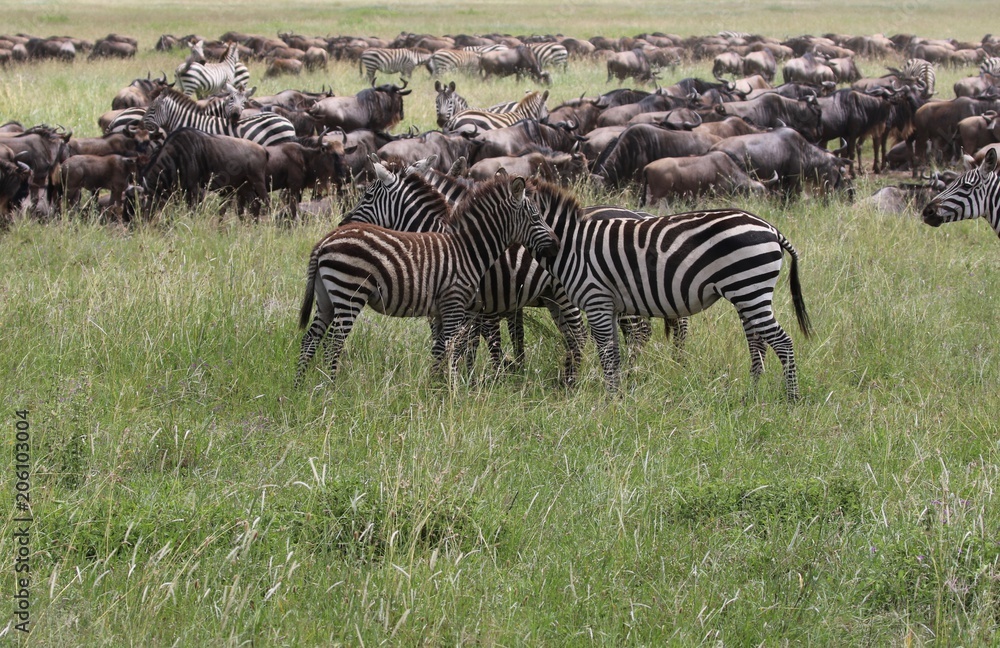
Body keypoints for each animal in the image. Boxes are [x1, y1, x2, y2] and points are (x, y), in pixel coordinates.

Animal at [294, 173, 560, 385]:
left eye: (368, 195)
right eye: (536, 218)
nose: (556, 245)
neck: (468, 249)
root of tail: (324, 242)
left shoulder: (452, 309)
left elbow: (446, 347)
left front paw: (441, 385)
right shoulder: (455, 304)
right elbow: (452, 347)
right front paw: (452, 388)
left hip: (327, 299)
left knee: (310, 339)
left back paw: (301, 387)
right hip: (348, 294)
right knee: (332, 343)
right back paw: (330, 387)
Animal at [339, 155, 586, 378]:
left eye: (367, 195)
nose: (343, 224)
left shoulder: (477, 305)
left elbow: (469, 342)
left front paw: (475, 379)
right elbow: (457, 342)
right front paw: (460, 378)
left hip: (564, 293)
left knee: (579, 335)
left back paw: (574, 383)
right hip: (552, 296)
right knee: (571, 337)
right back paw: (567, 377)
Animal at [527, 180, 813, 400]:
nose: (553, 246)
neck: (572, 243)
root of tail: (771, 228)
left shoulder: (596, 299)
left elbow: (603, 350)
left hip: (749, 289)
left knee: (781, 342)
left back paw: (791, 399)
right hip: (746, 294)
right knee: (758, 342)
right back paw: (750, 395)